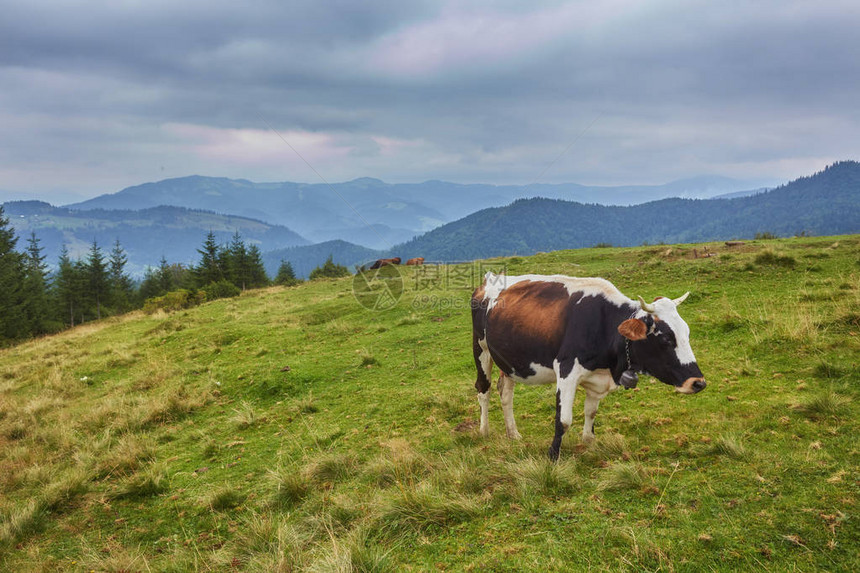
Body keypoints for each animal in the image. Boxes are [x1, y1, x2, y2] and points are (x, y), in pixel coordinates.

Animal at [470, 272, 704, 460]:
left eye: (687, 333)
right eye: (665, 338)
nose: (698, 382)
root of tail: (489, 278)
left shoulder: (598, 377)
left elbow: (591, 412)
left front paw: (589, 443)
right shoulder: (566, 370)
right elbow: (564, 420)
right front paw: (552, 456)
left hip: (507, 360)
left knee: (505, 393)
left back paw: (513, 434)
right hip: (481, 349)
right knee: (483, 389)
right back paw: (484, 431)